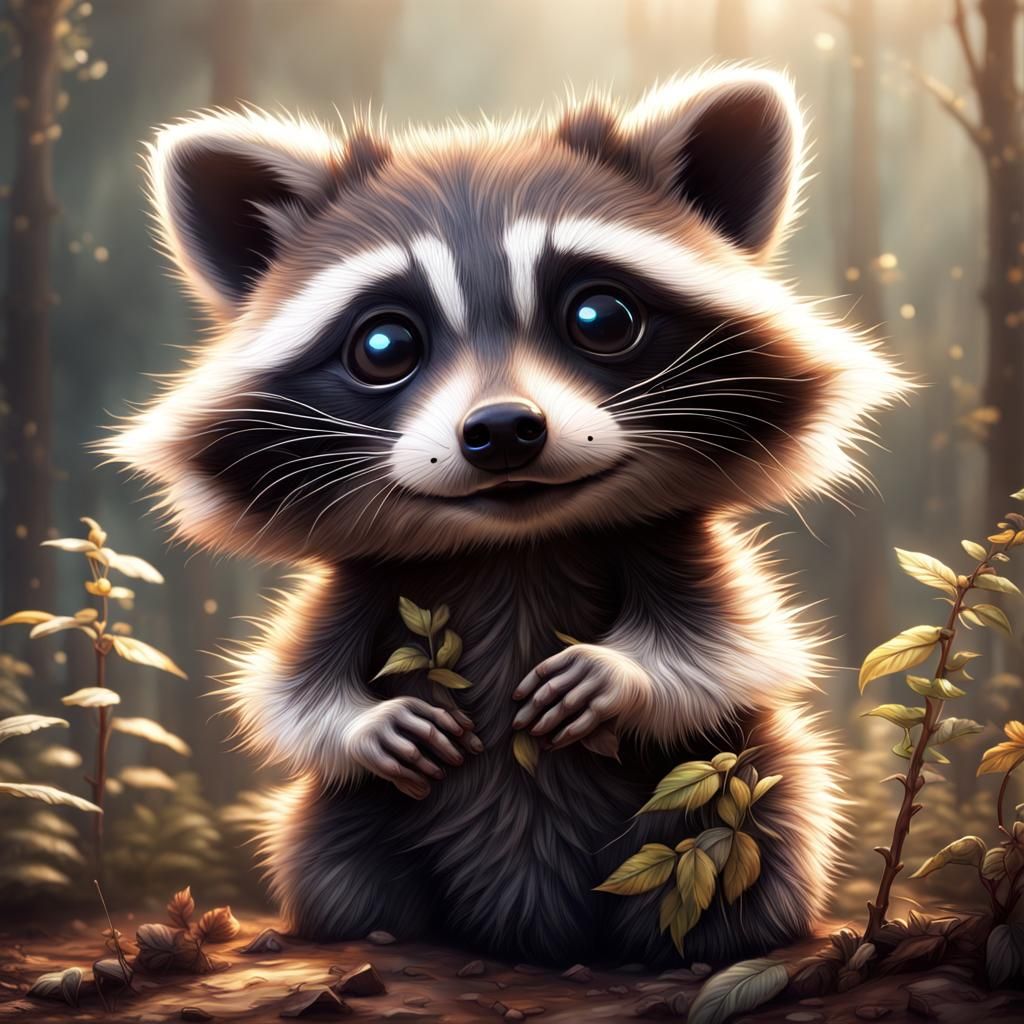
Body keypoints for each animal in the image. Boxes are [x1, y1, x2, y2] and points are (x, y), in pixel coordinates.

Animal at [105, 67, 908, 966]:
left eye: (602, 318)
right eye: (384, 346)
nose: (501, 431)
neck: (515, 543)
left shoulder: (676, 547)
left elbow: (738, 648)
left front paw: (617, 673)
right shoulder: (361, 582)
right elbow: (286, 691)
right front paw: (370, 725)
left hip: (727, 799)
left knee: (768, 813)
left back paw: (717, 939)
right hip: (347, 822)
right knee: (330, 850)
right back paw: (374, 928)